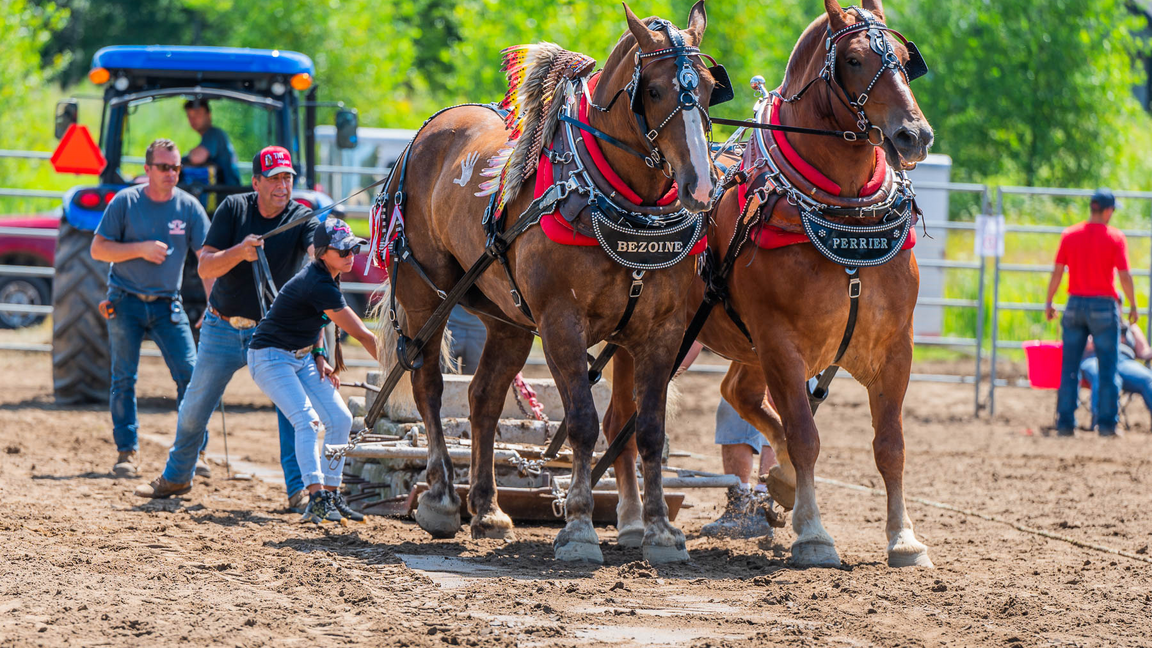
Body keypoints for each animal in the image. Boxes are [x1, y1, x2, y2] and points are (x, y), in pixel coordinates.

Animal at [373, 1, 728, 564]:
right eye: (652, 90)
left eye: (712, 88)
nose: (700, 187)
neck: (620, 202)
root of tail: (429, 131)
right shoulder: (562, 321)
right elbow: (582, 420)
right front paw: (579, 528)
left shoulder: (663, 331)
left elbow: (649, 430)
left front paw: (660, 531)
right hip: (424, 290)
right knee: (428, 384)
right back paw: (442, 499)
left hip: (509, 317)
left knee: (484, 397)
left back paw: (488, 509)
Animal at [604, 0, 936, 568]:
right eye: (852, 59)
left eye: (901, 54)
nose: (914, 135)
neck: (843, 214)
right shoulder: (781, 342)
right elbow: (805, 436)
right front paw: (814, 534)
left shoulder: (895, 345)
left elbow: (890, 444)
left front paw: (904, 538)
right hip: (643, 340)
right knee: (622, 423)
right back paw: (630, 521)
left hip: (736, 343)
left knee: (734, 393)